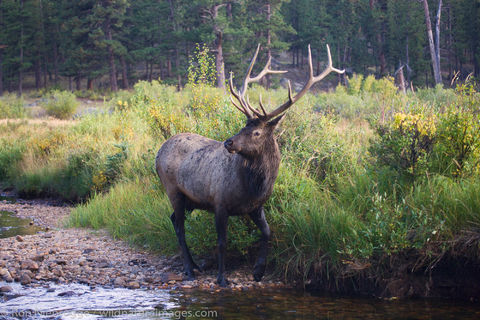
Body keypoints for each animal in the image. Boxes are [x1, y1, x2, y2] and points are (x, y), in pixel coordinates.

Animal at [156, 43, 344, 286]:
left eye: (255, 132)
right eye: (243, 125)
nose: (229, 142)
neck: (253, 187)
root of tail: (158, 153)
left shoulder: (256, 206)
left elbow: (267, 232)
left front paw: (258, 271)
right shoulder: (219, 203)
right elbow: (222, 243)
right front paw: (222, 278)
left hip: (191, 200)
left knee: (173, 220)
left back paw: (195, 265)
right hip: (173, 190)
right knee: (179, 226)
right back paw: (189, 269)